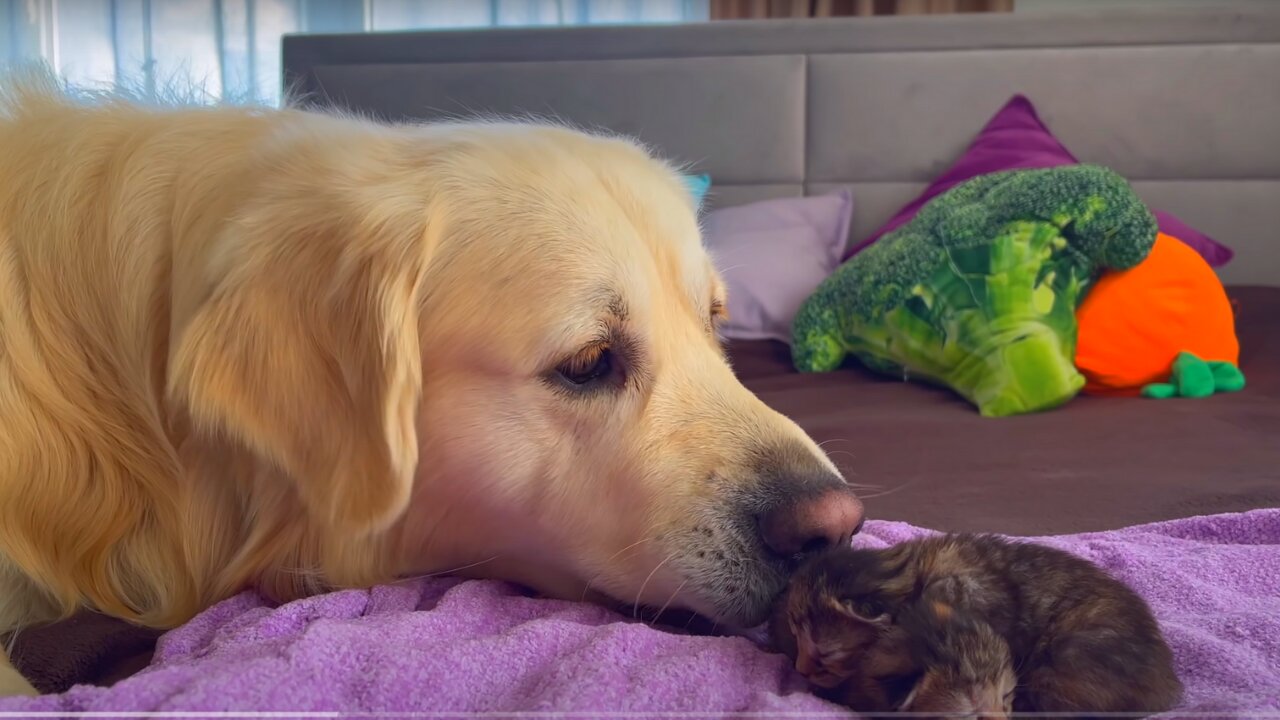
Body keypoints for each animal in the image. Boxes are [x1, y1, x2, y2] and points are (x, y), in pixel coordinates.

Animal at [762, 530, 1182, 712]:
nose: (799, 668)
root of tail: (1169, 685)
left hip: (1067, 660)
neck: (909, 576)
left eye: (823, 654)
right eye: (795, 637)